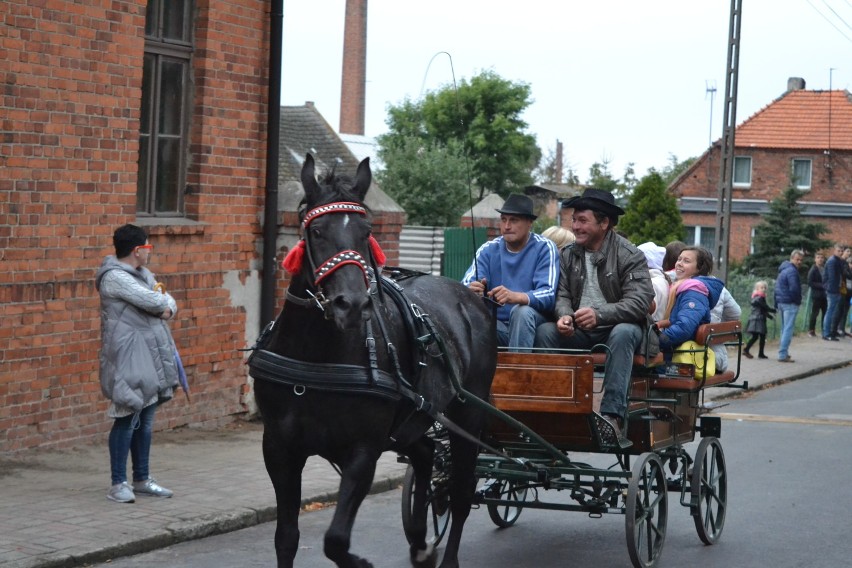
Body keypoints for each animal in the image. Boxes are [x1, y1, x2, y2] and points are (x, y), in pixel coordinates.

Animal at [250, 154, 496, 568]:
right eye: (316, 231)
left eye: (366, 231)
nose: (352, 304)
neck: (317, 358)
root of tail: (470, 297)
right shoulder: (279, 448)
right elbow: (286, 538)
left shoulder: (363, 451)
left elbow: (335, 540)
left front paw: (359, 562)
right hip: (416, 417)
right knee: (426, 454)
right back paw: (420, 542)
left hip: (468, 415)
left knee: (462, 493)